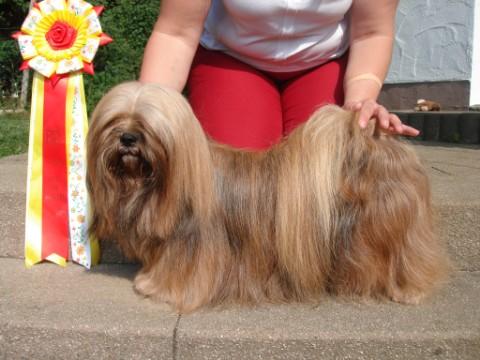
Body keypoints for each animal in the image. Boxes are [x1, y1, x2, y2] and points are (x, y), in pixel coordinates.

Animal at [87, 81, 450, 312]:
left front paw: (156, 288)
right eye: (115, 121)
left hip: (390, 232)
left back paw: (409, 291)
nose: (128, 138)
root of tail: (378, 147)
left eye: (147, 125)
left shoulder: (192, 251)